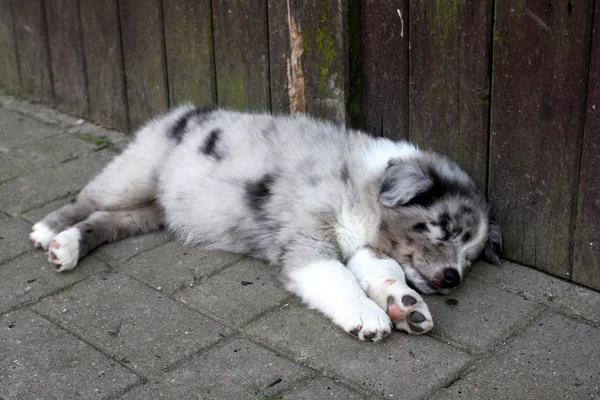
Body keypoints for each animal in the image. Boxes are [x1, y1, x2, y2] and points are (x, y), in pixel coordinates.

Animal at [29, 105, 502, 340]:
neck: (362, 189)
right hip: (136, 173)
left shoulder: (362, 244)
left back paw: (68, 246)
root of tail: (179, 111)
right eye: (442, 228)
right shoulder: (307, 240)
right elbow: (338, 280)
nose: (454, 278)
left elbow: (384, 270)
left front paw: (404, 305)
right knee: (89, 199)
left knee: (107, 221)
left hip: (149, 211)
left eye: (471, 256)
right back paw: (49, 231)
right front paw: (367, 315)